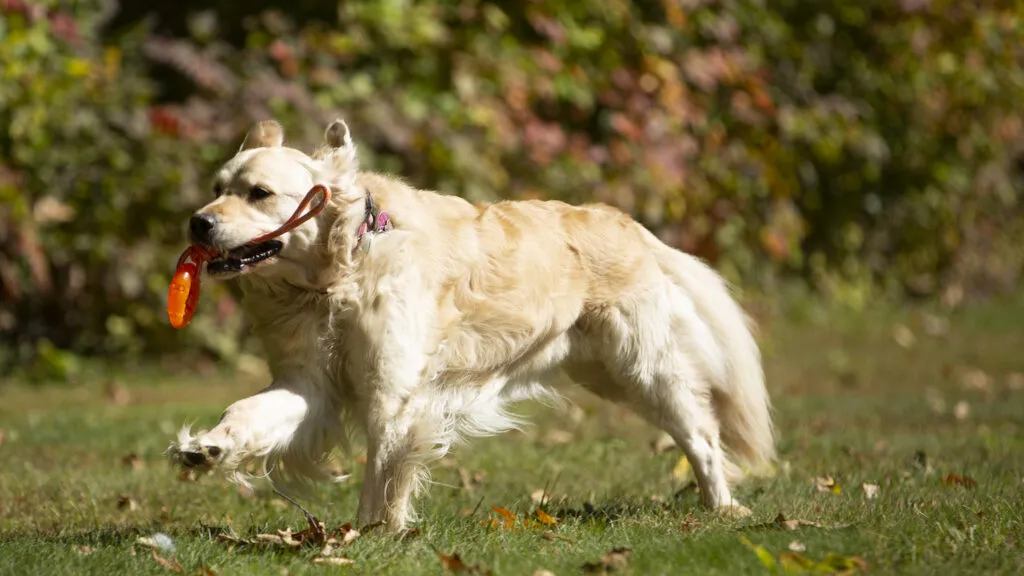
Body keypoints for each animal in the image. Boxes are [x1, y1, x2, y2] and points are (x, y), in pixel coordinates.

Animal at [169, 117, 774, 528]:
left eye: (260, 194)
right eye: (218, 187)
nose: (197, 222)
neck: (341, 273)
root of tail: (631, 225)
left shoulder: (392, 394)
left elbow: (381, 470)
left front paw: (370, 534)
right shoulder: (308, 383)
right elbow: (249, 411)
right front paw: (210, 446)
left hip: (643, 370)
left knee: (702, 435)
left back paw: (723, 507)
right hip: (605, 370)